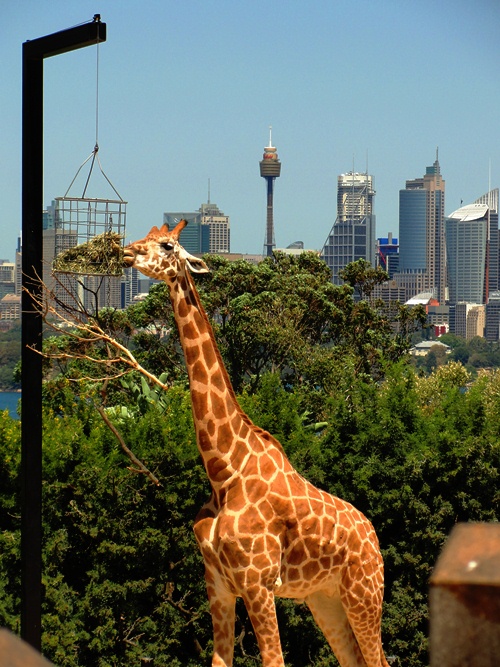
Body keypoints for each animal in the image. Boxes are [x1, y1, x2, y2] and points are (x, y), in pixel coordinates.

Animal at [123, 220, 390, 667]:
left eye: (167, 245)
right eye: (145, 235)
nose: (126, 252)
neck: (224, 470)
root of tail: (375, 539)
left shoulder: (257, 583)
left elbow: (274, 659)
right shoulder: (216, 583)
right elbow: (219, 660)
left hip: (364, 595)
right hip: (324, 598)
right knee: (352, 658)